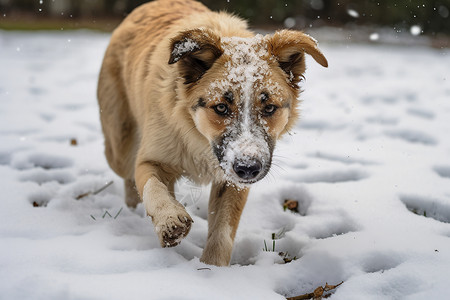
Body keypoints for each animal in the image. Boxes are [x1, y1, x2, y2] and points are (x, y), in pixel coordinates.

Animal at [97, 0, 326, 268]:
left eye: (269, 108)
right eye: (221, 108)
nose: (248, 168)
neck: (200, 139)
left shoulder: (231, 181)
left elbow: (222, 229)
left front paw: (211, 269)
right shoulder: (152, 159)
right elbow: (154, 188)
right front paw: (169, 220)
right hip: (120, 148)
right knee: (128, 175)